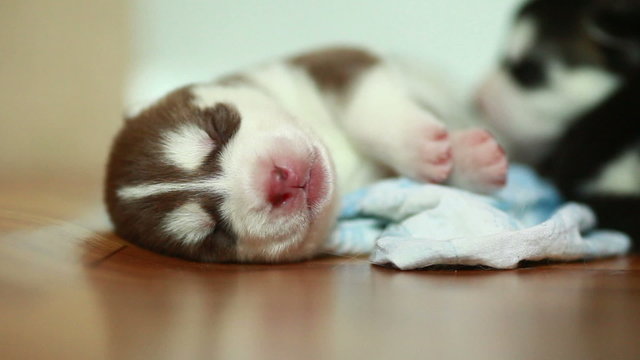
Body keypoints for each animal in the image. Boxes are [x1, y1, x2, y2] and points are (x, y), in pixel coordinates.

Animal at [105, 46, 508, 262]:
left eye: (216, 128)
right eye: (215, 232)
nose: (279, 180)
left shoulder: (331, 61)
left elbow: (368, 111)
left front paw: (428, 146)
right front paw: (471, 161)